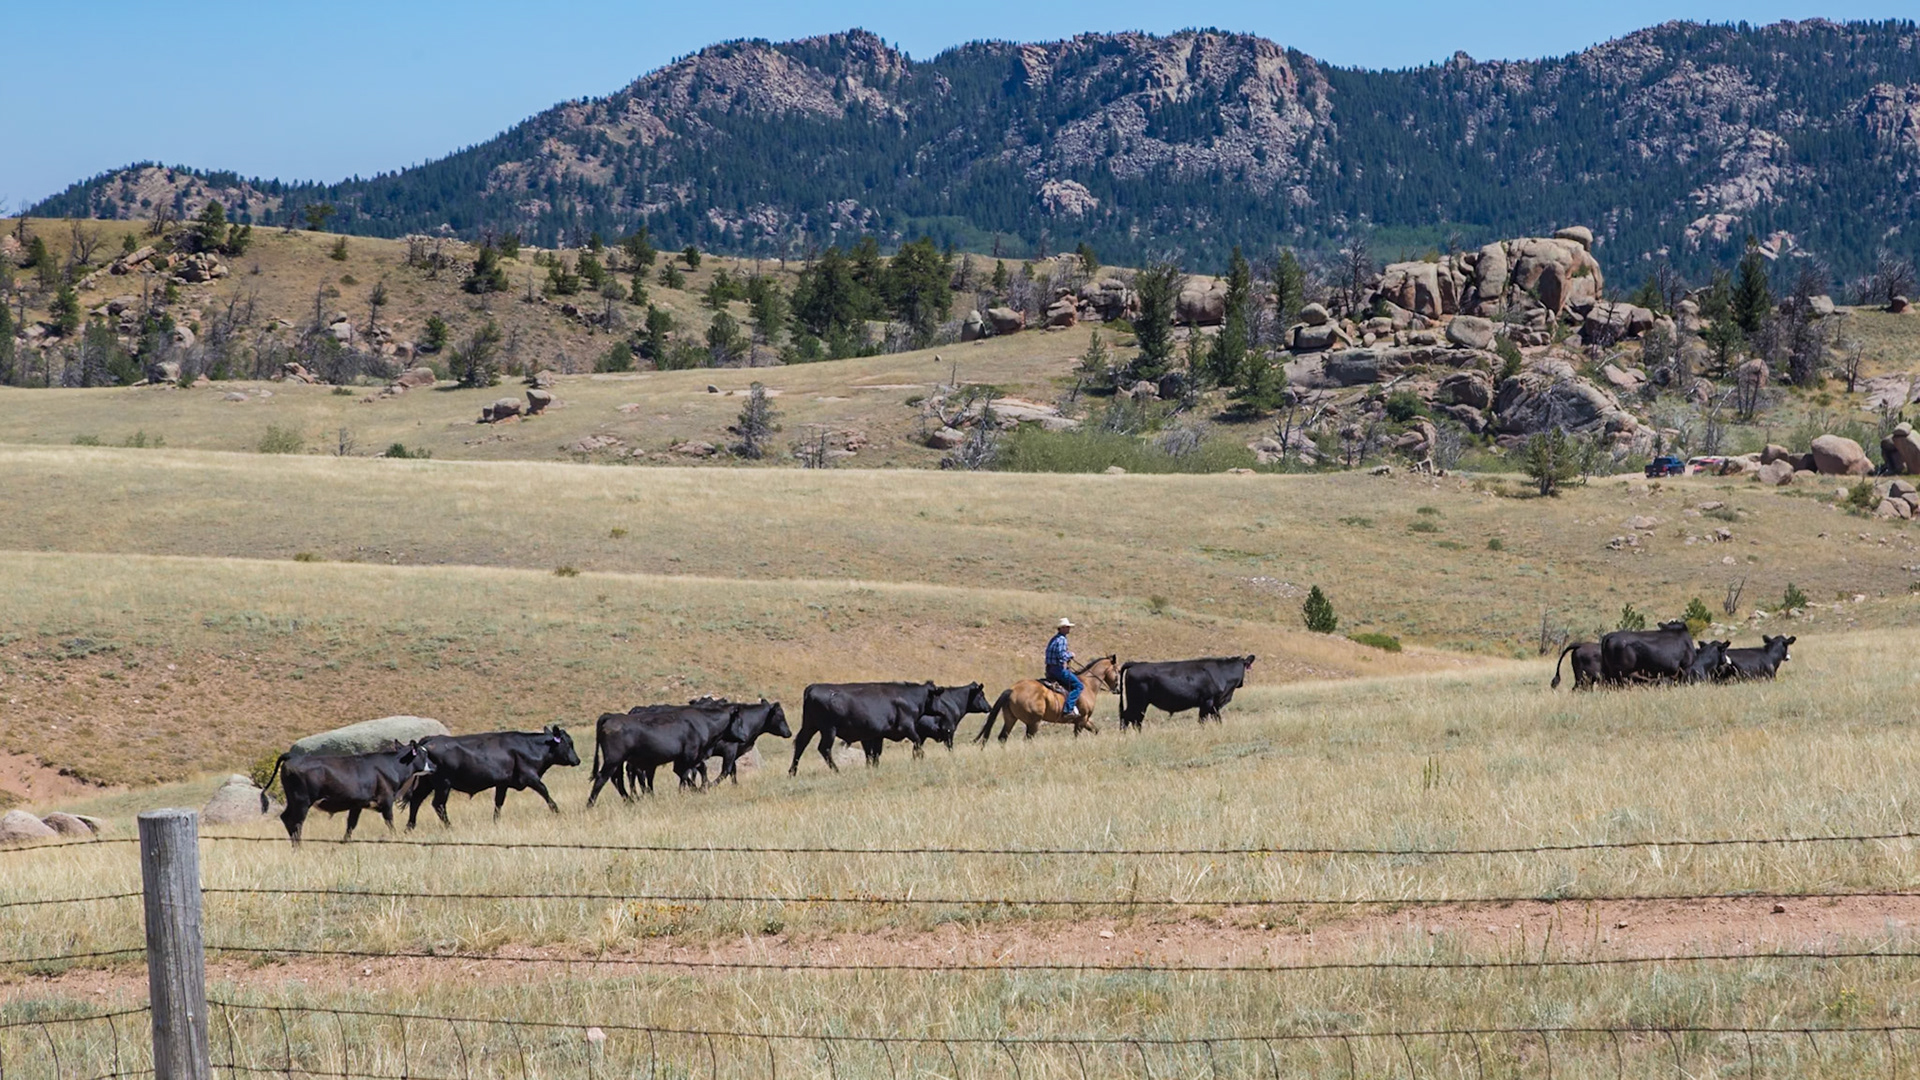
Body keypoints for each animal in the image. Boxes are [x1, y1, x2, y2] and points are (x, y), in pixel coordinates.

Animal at [259, 740, 438, 845]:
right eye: (424, 754)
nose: (435, 766)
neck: (392, 766)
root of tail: (293, 756)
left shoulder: (357, 805)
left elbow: (351, 825)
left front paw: (345, 842)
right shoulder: (386, 800)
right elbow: (390, 822)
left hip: (293, 800)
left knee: (286, 818)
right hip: (301, 801)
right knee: (296, 822)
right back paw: (298, 846)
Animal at [402, 724, 579, 829]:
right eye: (569, 743)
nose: (577, 760)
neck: (530, 747)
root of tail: (429, 739)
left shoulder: (502, 783)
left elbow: (498, 803)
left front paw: (496, 822)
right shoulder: (531, 777)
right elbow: (546, 794)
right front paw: (558, 813)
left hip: (427, 783)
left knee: (416, 801)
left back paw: (410, 827)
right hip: (443, 784)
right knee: (438, 804)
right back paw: (449, 826)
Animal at [586, 703, 748, 807]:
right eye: (739, 721)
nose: (745, 737)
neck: (704, 722)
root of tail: (611, 716)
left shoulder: (687, 758)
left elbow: (690, 772)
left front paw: (698, 788)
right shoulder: (689, 755)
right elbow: (685, 774)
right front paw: (690, 791)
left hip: (618, 762)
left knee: (617, 778)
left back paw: (630, 800)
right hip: (613, 760)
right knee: (602, 778)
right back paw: (590, 804)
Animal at [789, 681, 939, 774]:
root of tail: (813, 687)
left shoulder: (876, 735)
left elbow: (873, 753)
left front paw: (872, 768)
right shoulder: (907, 727)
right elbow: (918, 742)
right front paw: (920, 759)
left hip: (809, 726)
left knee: (801, 743)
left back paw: (792, 772)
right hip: (828, 729)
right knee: (824, 748)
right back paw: (837, 770)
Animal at [1117, 656, 1256, 730]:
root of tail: (1136, 664)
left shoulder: (1215, 704)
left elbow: (1218, 719)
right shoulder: (1207, 701)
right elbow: (1202, 720)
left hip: (1140, 703)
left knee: (1135, 720)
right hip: (1137, 701)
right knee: (1128, 718)